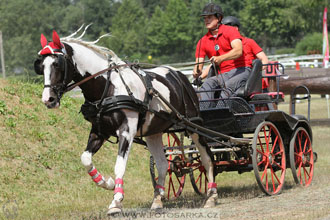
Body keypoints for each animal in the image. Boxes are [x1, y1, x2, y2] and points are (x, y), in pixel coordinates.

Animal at [33, 27, 218, 215]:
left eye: (57, 64)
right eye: (41, 66)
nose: (48, 99)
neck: (109, 87)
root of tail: (181, 76)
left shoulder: (127, 130)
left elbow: (119, 165)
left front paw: (116, 201)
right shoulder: (99, 130)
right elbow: (85, 158)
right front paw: (107, 183)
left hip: (194, 126)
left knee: (207, 157)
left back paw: (211, 195)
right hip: (153, 132)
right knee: (162, 163)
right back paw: (157, 200)